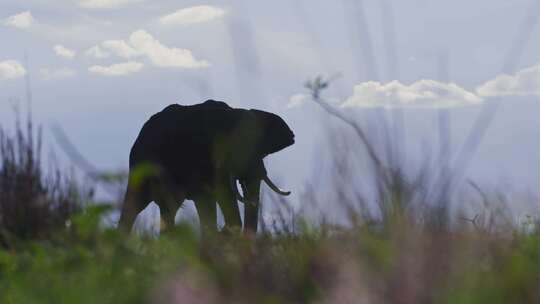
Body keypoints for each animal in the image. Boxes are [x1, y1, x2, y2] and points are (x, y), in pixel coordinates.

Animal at [118, 100, 296, 233]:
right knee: (134, 206)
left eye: (263, 152)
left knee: (168, 210)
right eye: (235, 147)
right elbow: (218, 196)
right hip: (140, 165)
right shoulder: (204, 159)